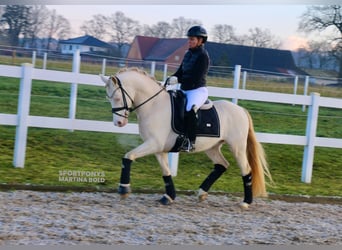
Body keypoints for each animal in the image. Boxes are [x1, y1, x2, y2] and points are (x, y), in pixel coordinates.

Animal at [101, 67, 272, 208]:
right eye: (108, 98)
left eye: (117, 98)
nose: (119, 123)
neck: (154, 106)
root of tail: (240, 110)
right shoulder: (159, 148)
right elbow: (166, 172)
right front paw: (168, 196)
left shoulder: (154, 144)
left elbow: (128, 156)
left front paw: (123, 189)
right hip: (212, 147)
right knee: (221, 165)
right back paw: (202, 193)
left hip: (237, 147)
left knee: (246, 170)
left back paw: (246, 202)